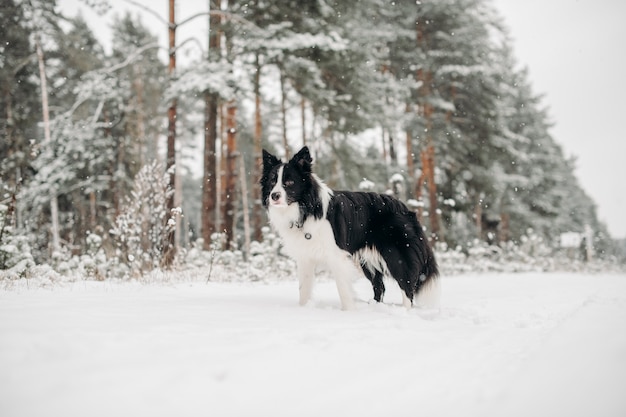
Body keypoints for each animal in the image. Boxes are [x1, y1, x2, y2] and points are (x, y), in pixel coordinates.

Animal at [260, 146, 436, 308]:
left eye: (289, 182)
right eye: (272, 181)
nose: (274, 196)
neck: (306, 210)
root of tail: (404, 207)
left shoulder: (337, 255)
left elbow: (343, 290)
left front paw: (348, 312)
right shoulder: (305, 256)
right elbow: (304, 289)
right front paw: (303, 309)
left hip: (396, 255)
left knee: (407, 285)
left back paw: (406, 312)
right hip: (368, 260)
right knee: (379, 286)